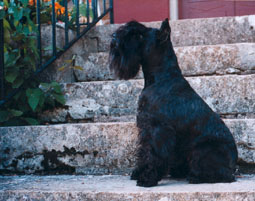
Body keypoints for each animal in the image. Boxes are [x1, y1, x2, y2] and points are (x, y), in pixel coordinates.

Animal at [108, 18, 238, 187]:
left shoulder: (159, 129)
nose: (114, 38)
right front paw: (139, 172)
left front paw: (147, 178)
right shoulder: (146, 128)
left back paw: (196, 177)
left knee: (224, 175)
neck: (161, 77)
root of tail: (234, 165)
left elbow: (154, 153)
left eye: (139, 35)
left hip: (202, 150)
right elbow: (144, 151)